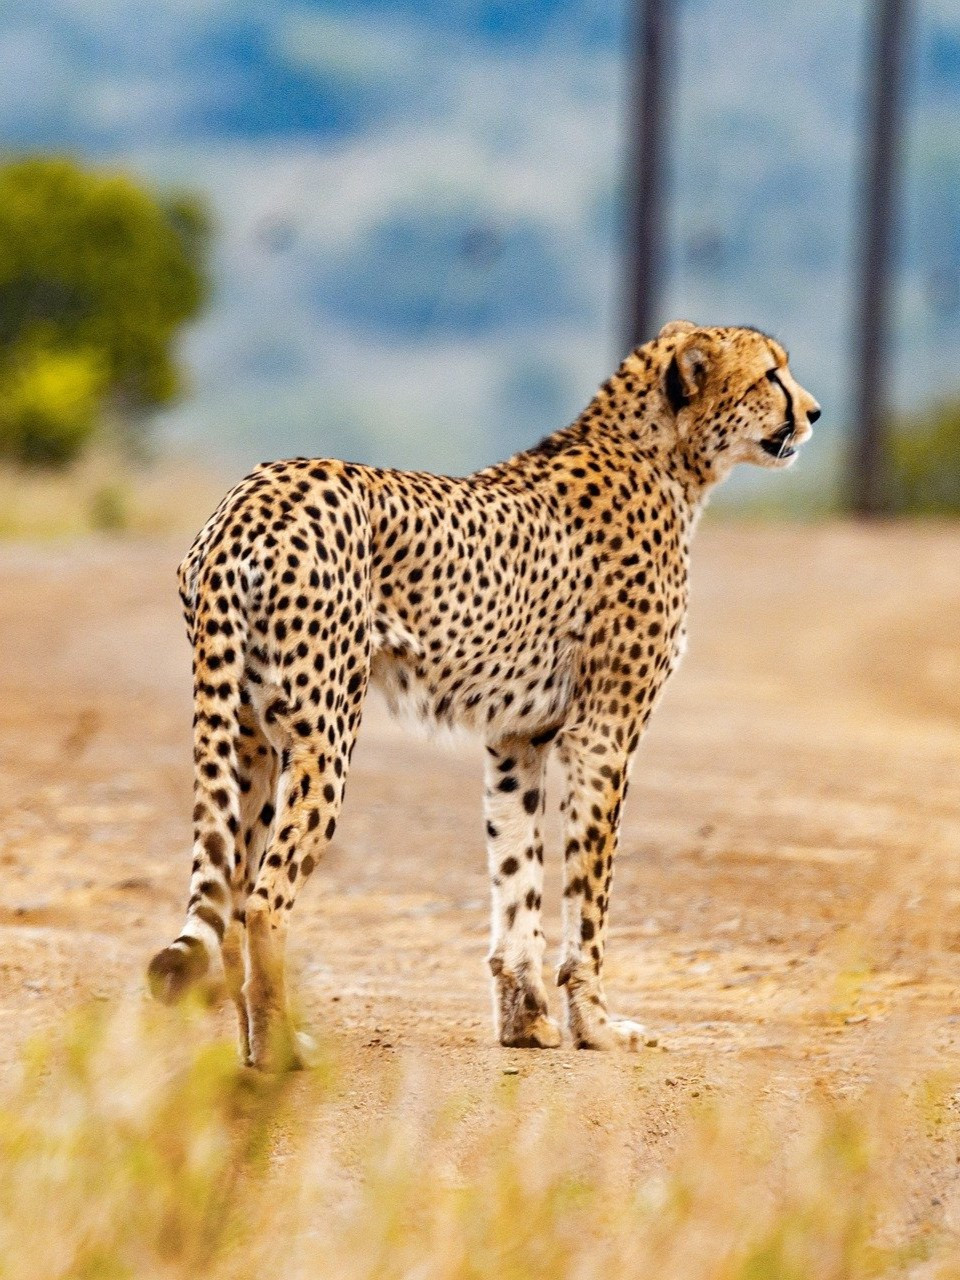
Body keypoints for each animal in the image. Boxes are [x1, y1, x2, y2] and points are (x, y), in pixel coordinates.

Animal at [148, 319, 820, 1068]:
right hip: (323, 734)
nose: (814, 412)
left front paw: (525, 1020)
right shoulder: (603, 734)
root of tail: (250, 497)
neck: (667, 456)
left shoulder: (518, 737)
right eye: (771, 374)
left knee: (234, 896)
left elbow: (517, 874)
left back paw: (248, 1047)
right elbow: (587, 896)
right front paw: (596, 1025)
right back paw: (280, 1051)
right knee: (265, 900)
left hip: (249, 739)